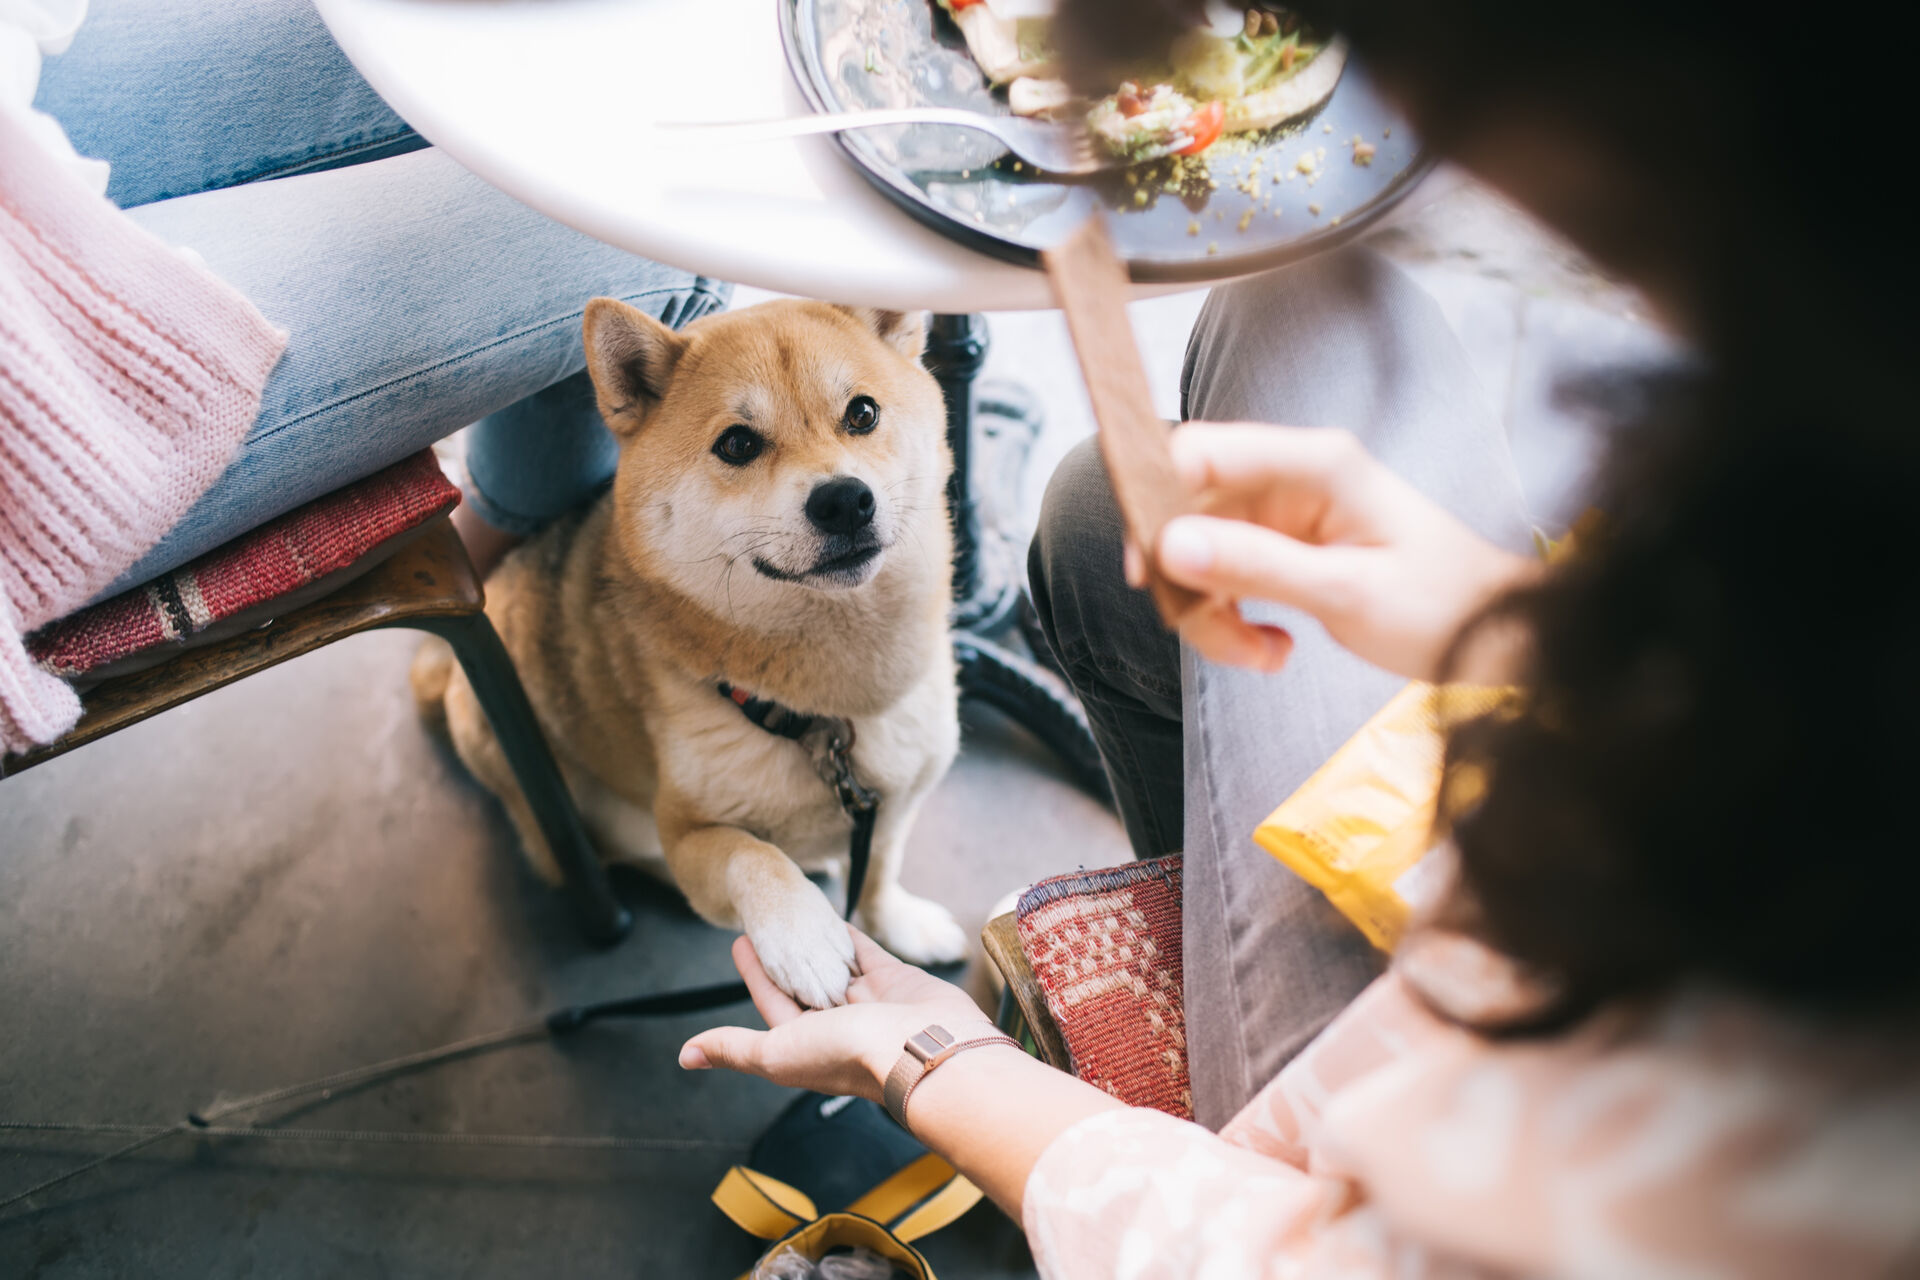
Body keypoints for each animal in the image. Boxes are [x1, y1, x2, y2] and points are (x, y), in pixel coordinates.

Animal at [414, 301, 967, 1013]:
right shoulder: (689, 833)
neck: (828, 708)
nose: (845, 500)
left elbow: (877, 873)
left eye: (863, 413)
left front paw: (897, 923)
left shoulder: (893, 801)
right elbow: (749, 856)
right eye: (737, 444)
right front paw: (803, 935)